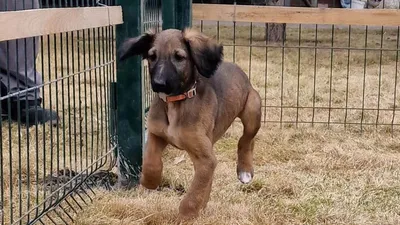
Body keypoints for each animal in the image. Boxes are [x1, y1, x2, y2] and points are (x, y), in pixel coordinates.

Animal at [119, 28, 262, 221]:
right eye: (152, 56)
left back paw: (244, 170)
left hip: (252, 111)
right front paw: (150, 181)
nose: (158, 83)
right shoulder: (156, 134)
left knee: (246, 139)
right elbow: (151, 161)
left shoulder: (206, 158)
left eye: (179, 57)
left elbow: (195, 192)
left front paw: (186, 215)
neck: (175, 102)